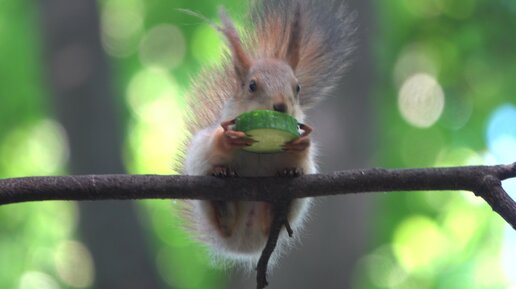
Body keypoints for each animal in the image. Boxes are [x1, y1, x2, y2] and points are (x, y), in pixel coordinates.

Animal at [180, 0, 354, 268]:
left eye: (297, 87)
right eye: (252, 86)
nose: (281, 106)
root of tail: (243, 245)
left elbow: (305, 151)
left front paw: (301, 144)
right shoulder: (210, 138)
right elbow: (215, 142)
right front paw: (228, 140)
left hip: (294, 206)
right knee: (223, 221)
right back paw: (223, 200)